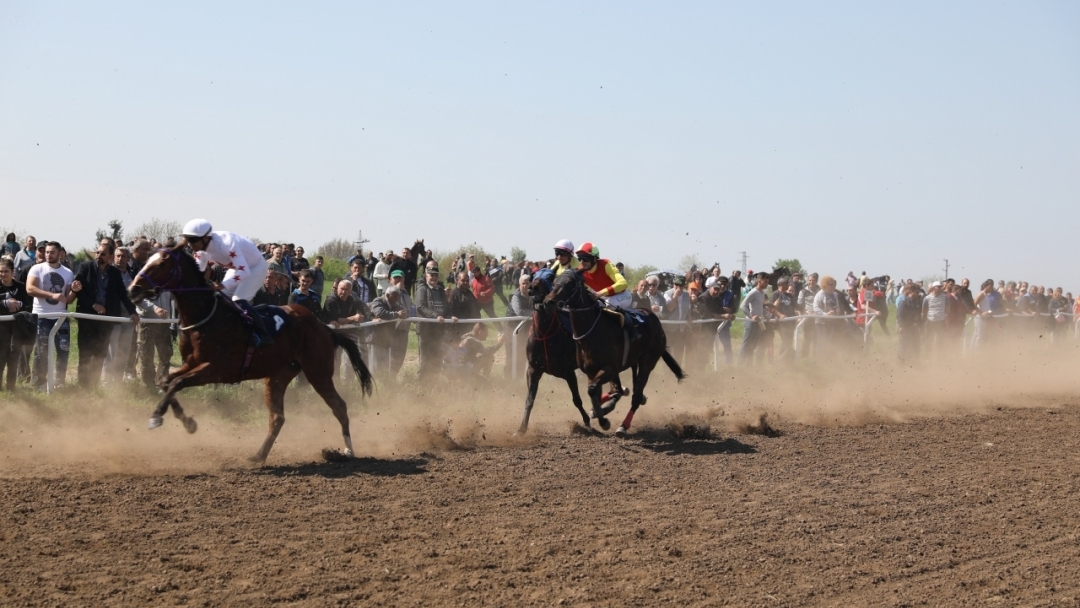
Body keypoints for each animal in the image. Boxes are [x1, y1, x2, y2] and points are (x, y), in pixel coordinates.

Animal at [127, 245, 375, 464]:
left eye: (161, 263)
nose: (133, 289)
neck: (206, 316)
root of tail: (324, 327)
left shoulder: (217, 369)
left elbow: (176, 382)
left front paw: (161, 418)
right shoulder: (191, 364)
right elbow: (167, 382)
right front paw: (184, 420)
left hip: (318, 371)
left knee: (339, 406)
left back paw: (347, 451)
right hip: (278, 375)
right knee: (277, 418)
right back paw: (259, 455)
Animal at [544, 271, 686, 438]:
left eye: (570, 283)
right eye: (555, 282)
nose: (548, 302)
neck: (591, 332)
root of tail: (654, 319)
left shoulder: (609, 368)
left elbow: (592, 390)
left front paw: (603, 421)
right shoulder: (591, 371)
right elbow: (595, 392)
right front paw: (599, 412)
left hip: (648, 361)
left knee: (636, 397)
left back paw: (623, 426)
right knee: (620, 390)